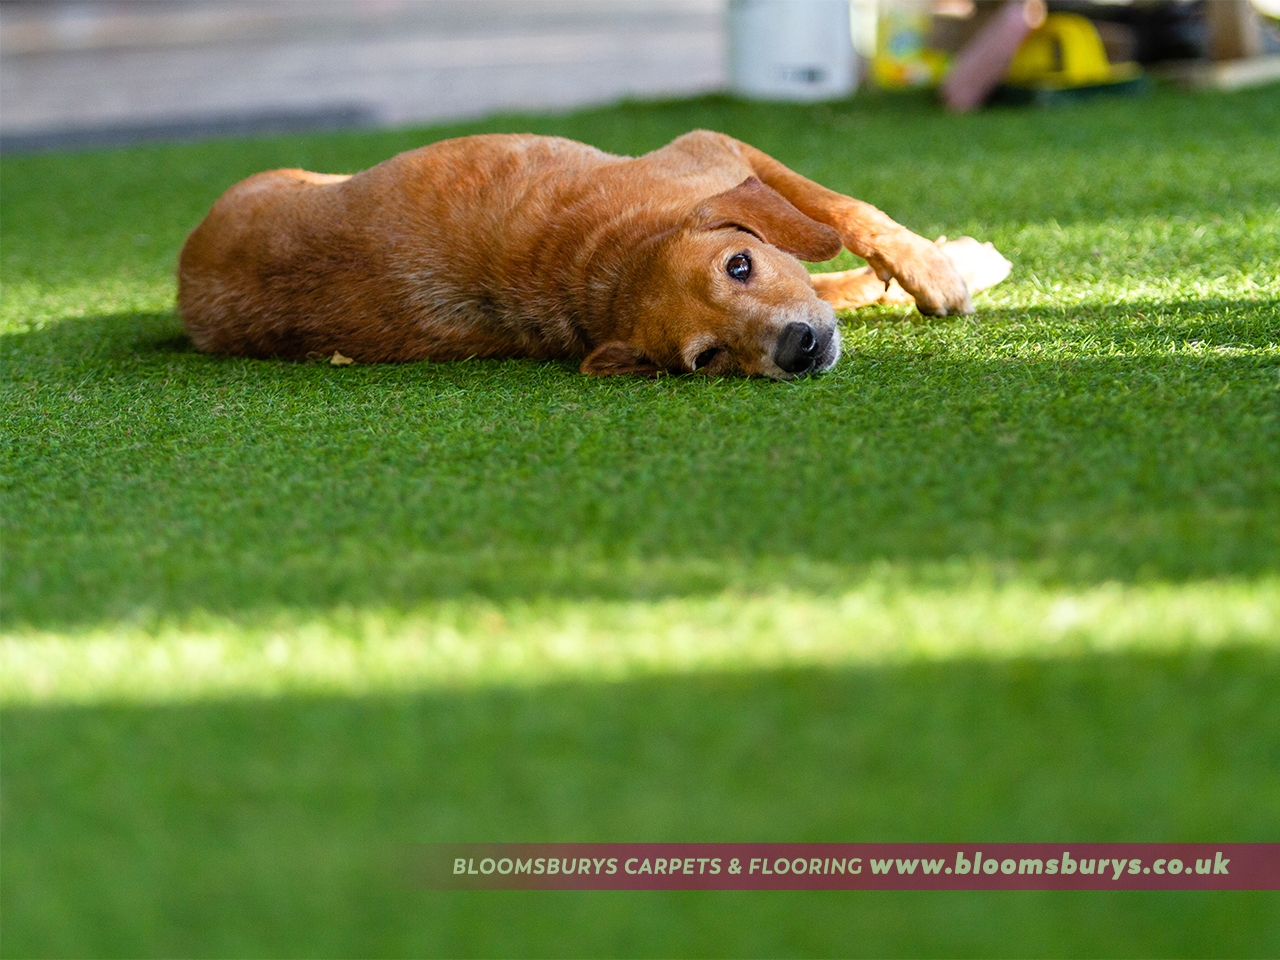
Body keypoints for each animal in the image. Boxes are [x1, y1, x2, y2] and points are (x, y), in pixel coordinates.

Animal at [177, 131, 1008, 378]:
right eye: (707, 358)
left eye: (740, 265)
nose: (796, 350)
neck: (609, 262)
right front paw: (942, 270)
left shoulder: (717, 149)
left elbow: (844, 212)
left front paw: (925, 269)